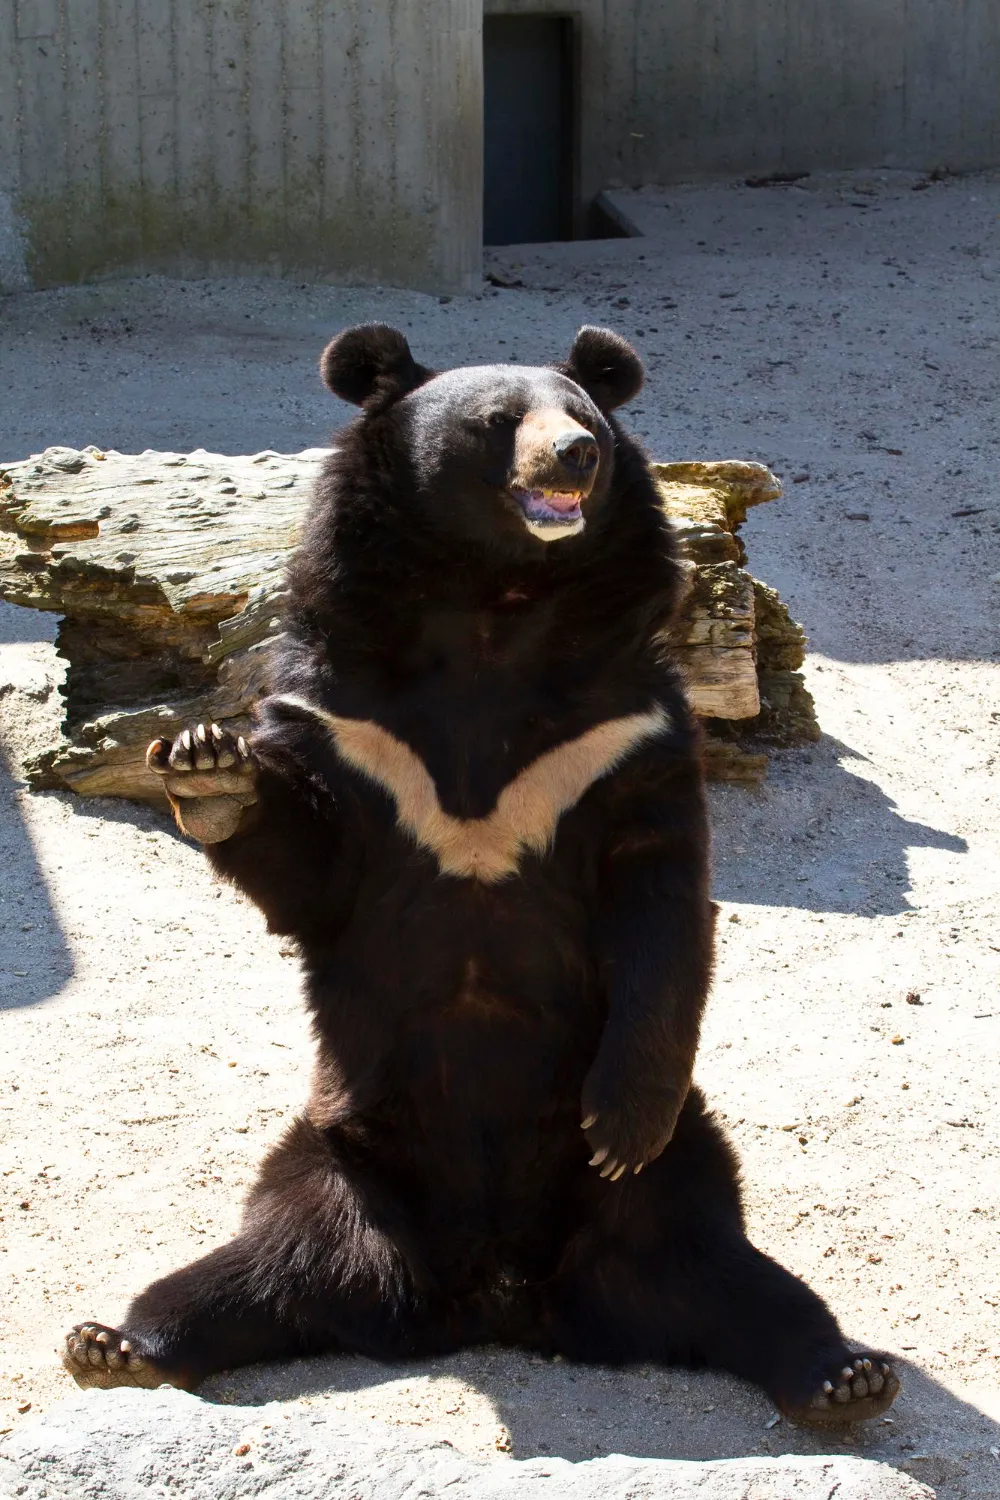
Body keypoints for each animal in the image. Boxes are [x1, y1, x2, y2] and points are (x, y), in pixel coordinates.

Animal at [63, 324, 899, 1426]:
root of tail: (494, 1292)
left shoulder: (623, 733)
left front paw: (618, 1119)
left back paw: (844, 1374)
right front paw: (205, 762)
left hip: (676, 1173)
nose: (573, 459)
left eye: (584, 421)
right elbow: (311, 868)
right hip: (338, 1156)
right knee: (265, 1265)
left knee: (724, 1272)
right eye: (498, 423)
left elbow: (664, 902)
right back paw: (117, 1343)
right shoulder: (350, 722)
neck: (493, 606)